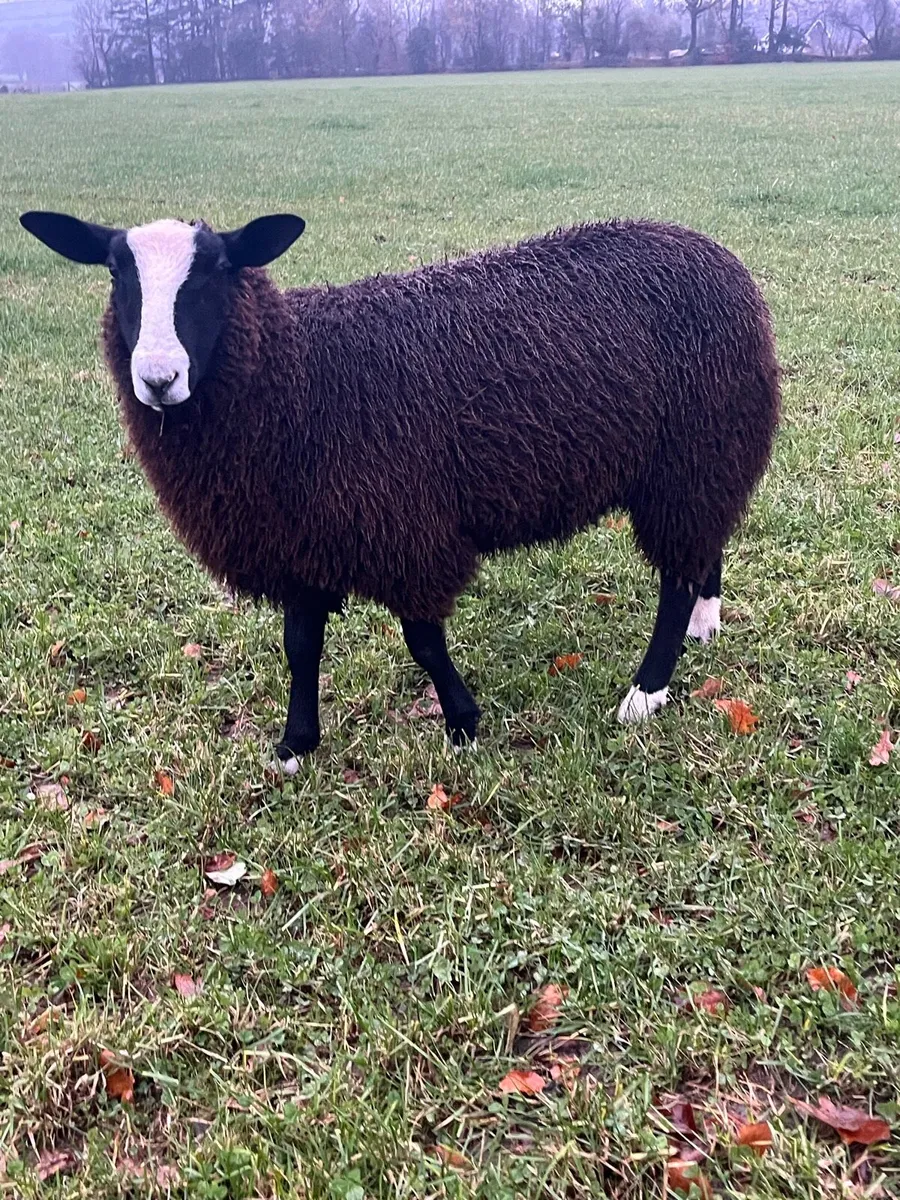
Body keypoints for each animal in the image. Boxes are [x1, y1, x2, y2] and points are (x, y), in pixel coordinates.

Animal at [19, 210, 780, 771]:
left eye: (216, 272)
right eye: (116, 272)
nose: (158, 378)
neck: (300, 380)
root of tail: (720, 258)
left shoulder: (407, 528)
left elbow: (423, 640)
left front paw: (463, 723)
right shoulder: (301, 541)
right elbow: (301, 645)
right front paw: (296, 745)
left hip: (691, 456)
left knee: (676, 575)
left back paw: (646, 690)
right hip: (701, 461)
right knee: (702, 549)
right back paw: (704, 625)